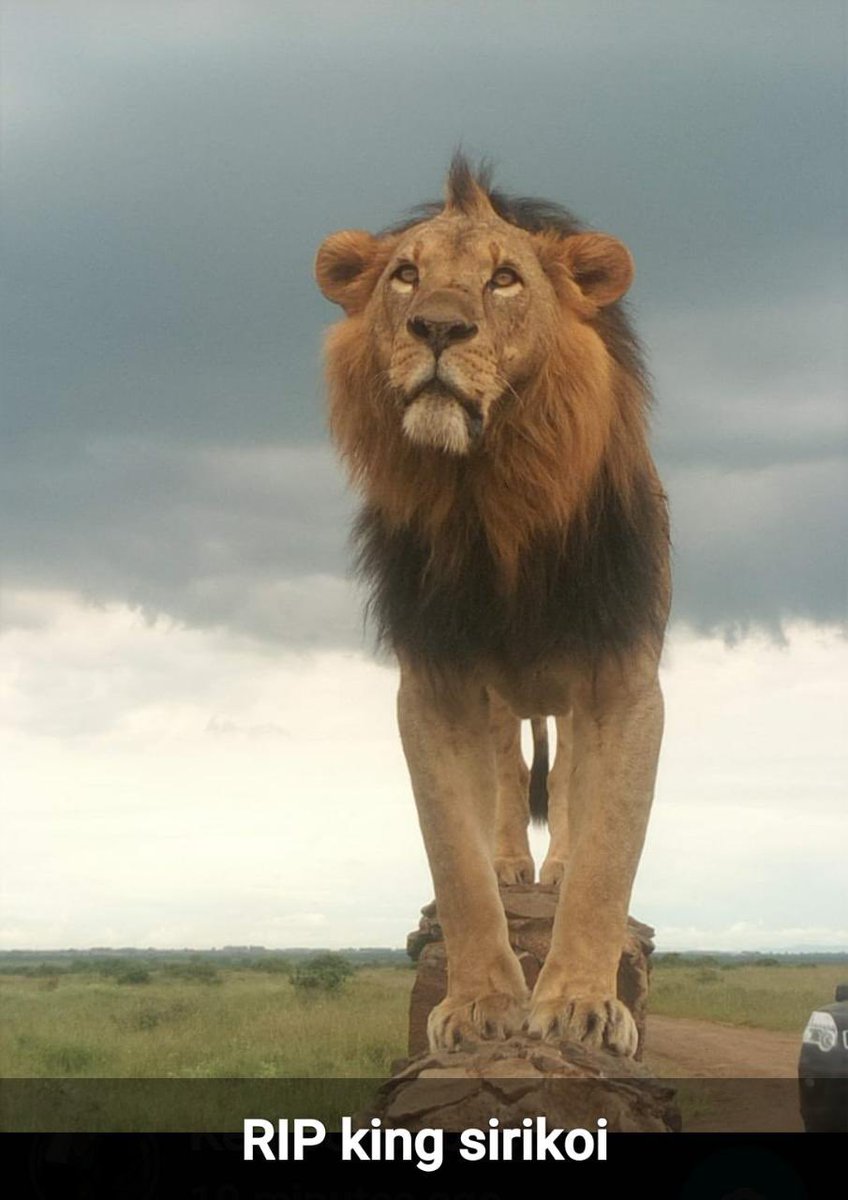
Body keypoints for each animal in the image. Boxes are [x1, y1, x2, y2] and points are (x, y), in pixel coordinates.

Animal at [315, 155, 669, 1057]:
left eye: (504, 279)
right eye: (406, 275)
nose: (437, 327)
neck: (491, 500)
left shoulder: (621, 675)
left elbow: (610, 849)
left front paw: (581, 1002)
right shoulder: (435, 683)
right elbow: (456, 860)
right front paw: (479, 1003)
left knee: (569, 780)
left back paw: (555, 867)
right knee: (510, 774)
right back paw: (516, 864)